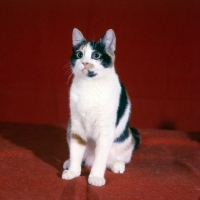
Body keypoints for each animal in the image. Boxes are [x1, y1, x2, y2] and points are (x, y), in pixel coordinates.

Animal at [61, 27, 140, 186]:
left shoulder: (105, 130)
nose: (85, 62)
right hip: (69, 128)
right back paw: (69, 162)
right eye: (79, 54)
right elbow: (76, 150)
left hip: (126, 139)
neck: (89, 85)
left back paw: (117, 164)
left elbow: (101, 157)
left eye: (96, 55)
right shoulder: (76, 126)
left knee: (122, 157)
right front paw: (73, 172)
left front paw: (96, 177)